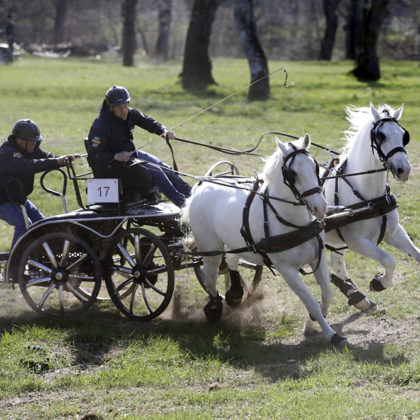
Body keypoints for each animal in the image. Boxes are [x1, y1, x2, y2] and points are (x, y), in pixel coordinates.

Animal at [185, 136, 348, 346]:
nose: (320, 208)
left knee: (231, 260)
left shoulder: (316, 259)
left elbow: (327, 294)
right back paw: (214, 308)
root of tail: (202, 186)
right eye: (293, 173)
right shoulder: (287, 270)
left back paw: (235, 293)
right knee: (211, 278)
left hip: (234, 243)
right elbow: (310, 301)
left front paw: (316, 318)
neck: (293, 223)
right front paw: (331, 334)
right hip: (210, 249)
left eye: (315, 167)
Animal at [324, 103, 418, 310]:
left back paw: (357, 296)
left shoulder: (394, 233)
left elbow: (417, 254)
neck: (371, 198)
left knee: (336, 263)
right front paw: (379, 283)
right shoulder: (357, 241)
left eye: (404, 135)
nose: (404, 170)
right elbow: (389, 260)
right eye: (380, 135)